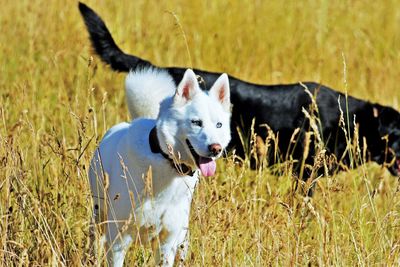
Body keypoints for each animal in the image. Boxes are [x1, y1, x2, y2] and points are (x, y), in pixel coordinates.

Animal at [88, 68, 230, 266]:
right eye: (196, 122)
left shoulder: (167, 243)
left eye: (219, 125)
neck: (167, 162)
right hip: (99, 215)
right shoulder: (118, 240)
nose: (215, 149)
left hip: (182, 236)